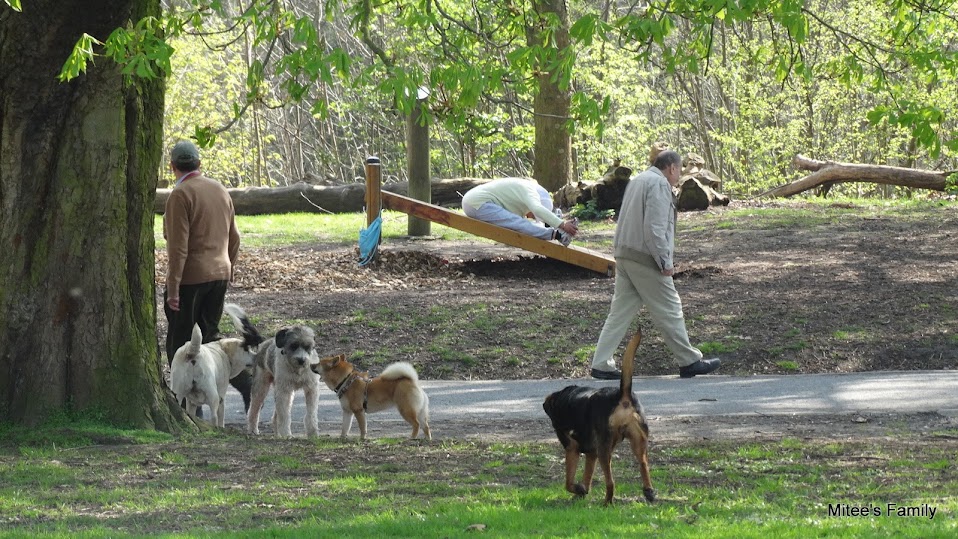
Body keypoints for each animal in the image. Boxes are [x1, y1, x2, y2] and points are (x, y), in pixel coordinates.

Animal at [544, 330, 656, 506]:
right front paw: (582, 492)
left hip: (604, 450)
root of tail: (622, 396)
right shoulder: (592, 453)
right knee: (644, 465)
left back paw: (607, 502)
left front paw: (578, 490)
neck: (568, 398)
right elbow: (587, 476)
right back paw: (649, 492)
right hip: (638, 443)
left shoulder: (572, 448)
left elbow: (568, 482)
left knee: (611, 482)